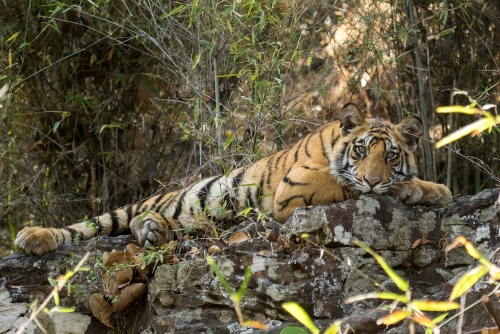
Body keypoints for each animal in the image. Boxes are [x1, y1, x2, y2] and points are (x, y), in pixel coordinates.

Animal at [16, 104, 454, 256]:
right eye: (361, 151)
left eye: (391, 154)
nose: (374, 180)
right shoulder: (296, 189)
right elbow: (348, 183)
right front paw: (412, 188)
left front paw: (432, 189)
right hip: (151, 203)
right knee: (87, 226)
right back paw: (33, 237)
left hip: (198, 219)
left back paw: (152, 231)